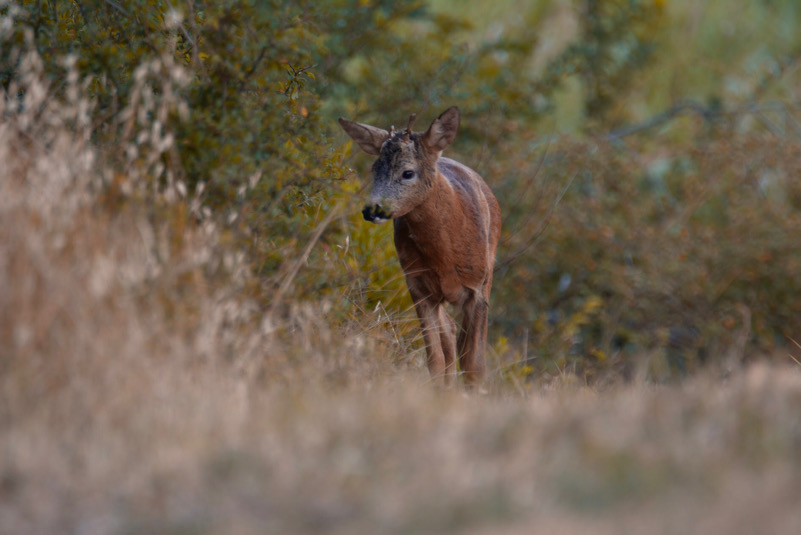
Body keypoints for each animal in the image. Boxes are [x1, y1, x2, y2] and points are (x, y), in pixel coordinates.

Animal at [338, 107, 500, 388]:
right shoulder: (418, 286)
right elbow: (435, 359)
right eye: (374, 169)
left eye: (407, 172)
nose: (372, 209)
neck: (444, 259)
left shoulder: (477, 289)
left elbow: (474, 364)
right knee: (449, 334)